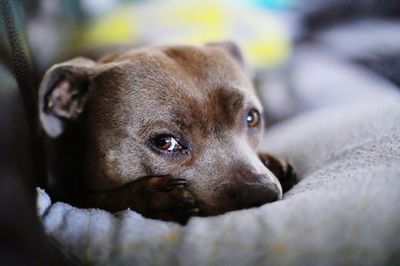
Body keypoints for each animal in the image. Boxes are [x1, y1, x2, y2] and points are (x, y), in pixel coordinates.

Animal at [38, 42, 296, 224]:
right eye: (165, 142)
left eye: (252, 118)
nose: (262, 192)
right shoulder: (66, 195)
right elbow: (102, 198)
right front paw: (154, 197)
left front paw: (271, 161)